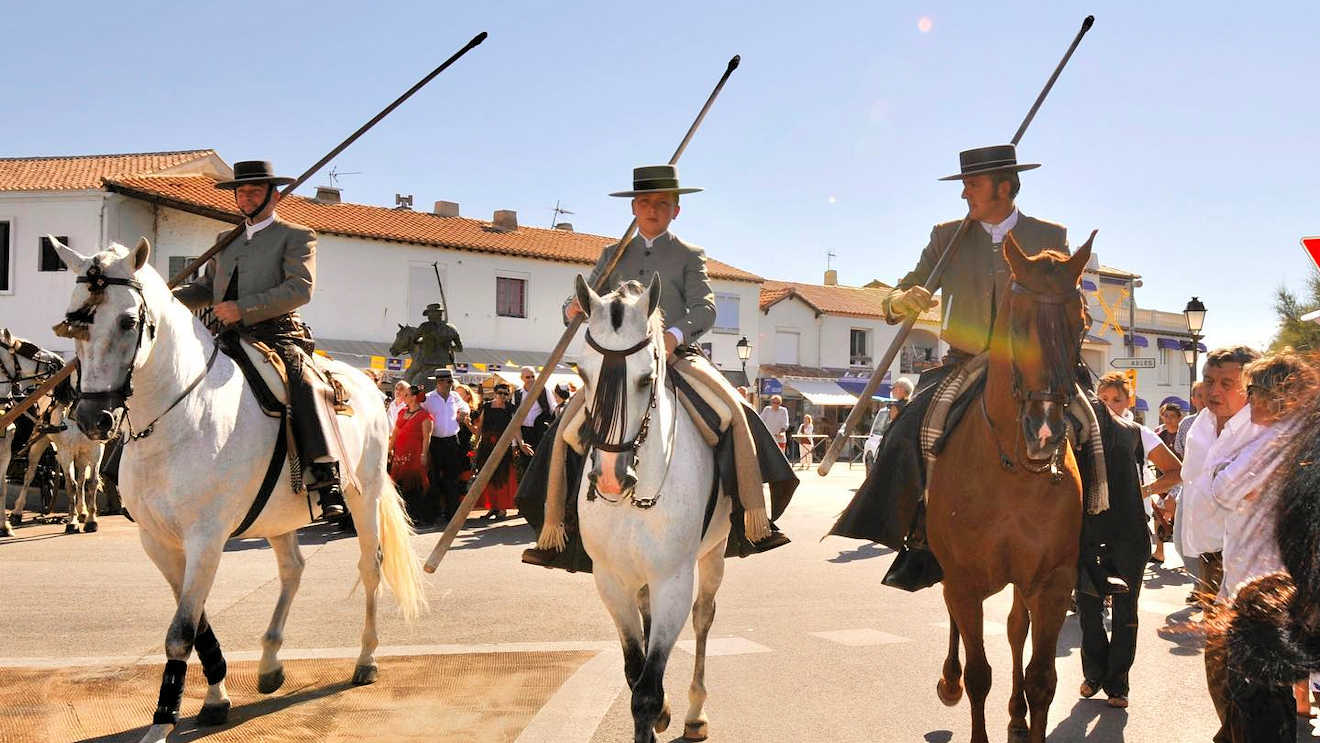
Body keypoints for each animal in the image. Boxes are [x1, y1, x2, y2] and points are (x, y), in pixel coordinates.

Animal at [54, 240, 425, 743]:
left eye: (128, 321)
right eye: (74, 319)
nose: (94, 419)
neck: (179, 414)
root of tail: (368, 385)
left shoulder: (206, 539)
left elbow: (181, 630)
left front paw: (164, 718)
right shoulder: (159, 541)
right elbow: (197, 622)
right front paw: (215, 696)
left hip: (363, 496)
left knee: (370, 567)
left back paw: (366, 658)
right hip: (279, 515)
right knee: (292, 570)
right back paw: (269, 661)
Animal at [572, 275, 728, 739]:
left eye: (645, 379)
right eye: (581, 373)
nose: (610, 477)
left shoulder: (672, 581)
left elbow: (645, 691)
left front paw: (660, 711)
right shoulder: (609, 581)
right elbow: (633, 671)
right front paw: (659, 713)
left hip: (714, 554)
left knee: (703, 617)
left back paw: (695, 712)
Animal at [924, 229, 1098, 739]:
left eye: (1082, 323)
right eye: (1015, 325)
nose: (1045, 432)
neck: (1014, 473)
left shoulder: (1053, 582)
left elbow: (1042, 678)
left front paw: (1026, 712)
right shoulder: (963, 580)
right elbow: (980, 673)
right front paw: (960, 684)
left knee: (1017, 627)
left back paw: (1016, 716)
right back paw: (949, 680)